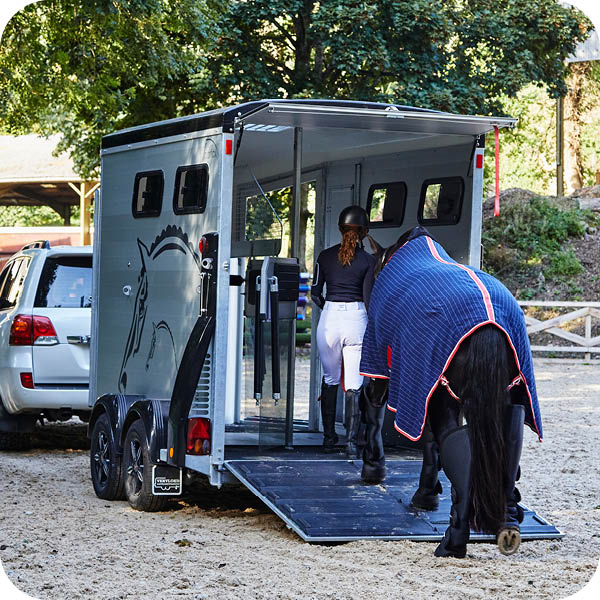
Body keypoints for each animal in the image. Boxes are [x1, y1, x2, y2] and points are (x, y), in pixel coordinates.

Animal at [360, 229, 544, 556]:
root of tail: (488, 322)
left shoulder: (388, 366)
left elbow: (377, 407)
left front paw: (374, 467)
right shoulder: (430, 390)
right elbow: (433, 441)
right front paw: (428, 492)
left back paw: (454, 540)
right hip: (503, 397)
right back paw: (508, 521)